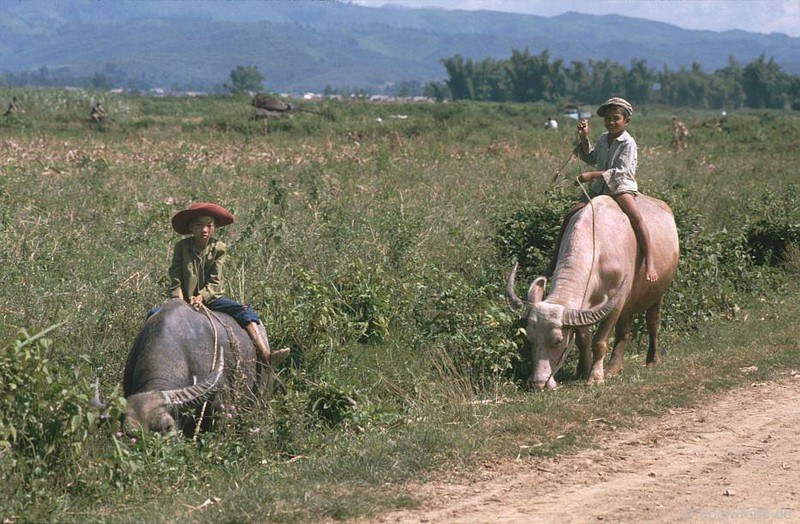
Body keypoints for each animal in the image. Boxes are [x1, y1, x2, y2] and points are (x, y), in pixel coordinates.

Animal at [506, 195, 676, 388]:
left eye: (557, 341)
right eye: (530, 339)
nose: (537, 382)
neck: (597, 248)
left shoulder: (615, 304)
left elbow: (599, 341)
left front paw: (595, 377)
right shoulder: (583, 306)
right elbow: (583, 339)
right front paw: (582, 370)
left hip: (657, 292)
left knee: (652, 323)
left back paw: (651, 360)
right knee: (624, 330)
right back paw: (614, 368)